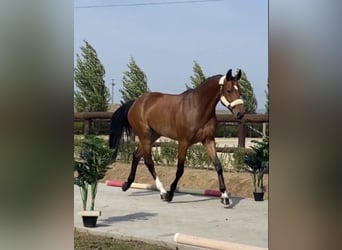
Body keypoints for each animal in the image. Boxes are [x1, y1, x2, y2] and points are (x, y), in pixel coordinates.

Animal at [108, 69, 244, 207]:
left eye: (239, 90)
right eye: (229, 90)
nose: (240, 113)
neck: (197, 108)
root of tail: (135, 103)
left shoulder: (208, 140)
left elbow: (218, 166)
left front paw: (225, 196)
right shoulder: (183, 142)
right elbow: (180, 169)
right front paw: (170, 194)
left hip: (152, 136)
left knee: (136, 155)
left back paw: (126, 184)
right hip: (144, 136)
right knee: (148, 162)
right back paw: (162, 192)